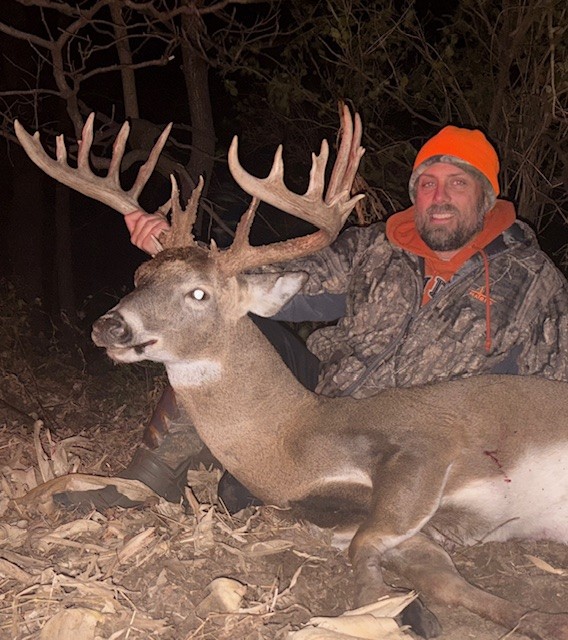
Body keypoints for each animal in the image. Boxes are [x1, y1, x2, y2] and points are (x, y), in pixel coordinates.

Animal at [15, 108, 568, 640]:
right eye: (139, 276)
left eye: (199, 292)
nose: (109, 325)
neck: (293, 445)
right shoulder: (345, 514)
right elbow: (435, 575)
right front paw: (533, 620)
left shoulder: (426, 444)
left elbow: (369, 548)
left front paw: (380, 612)